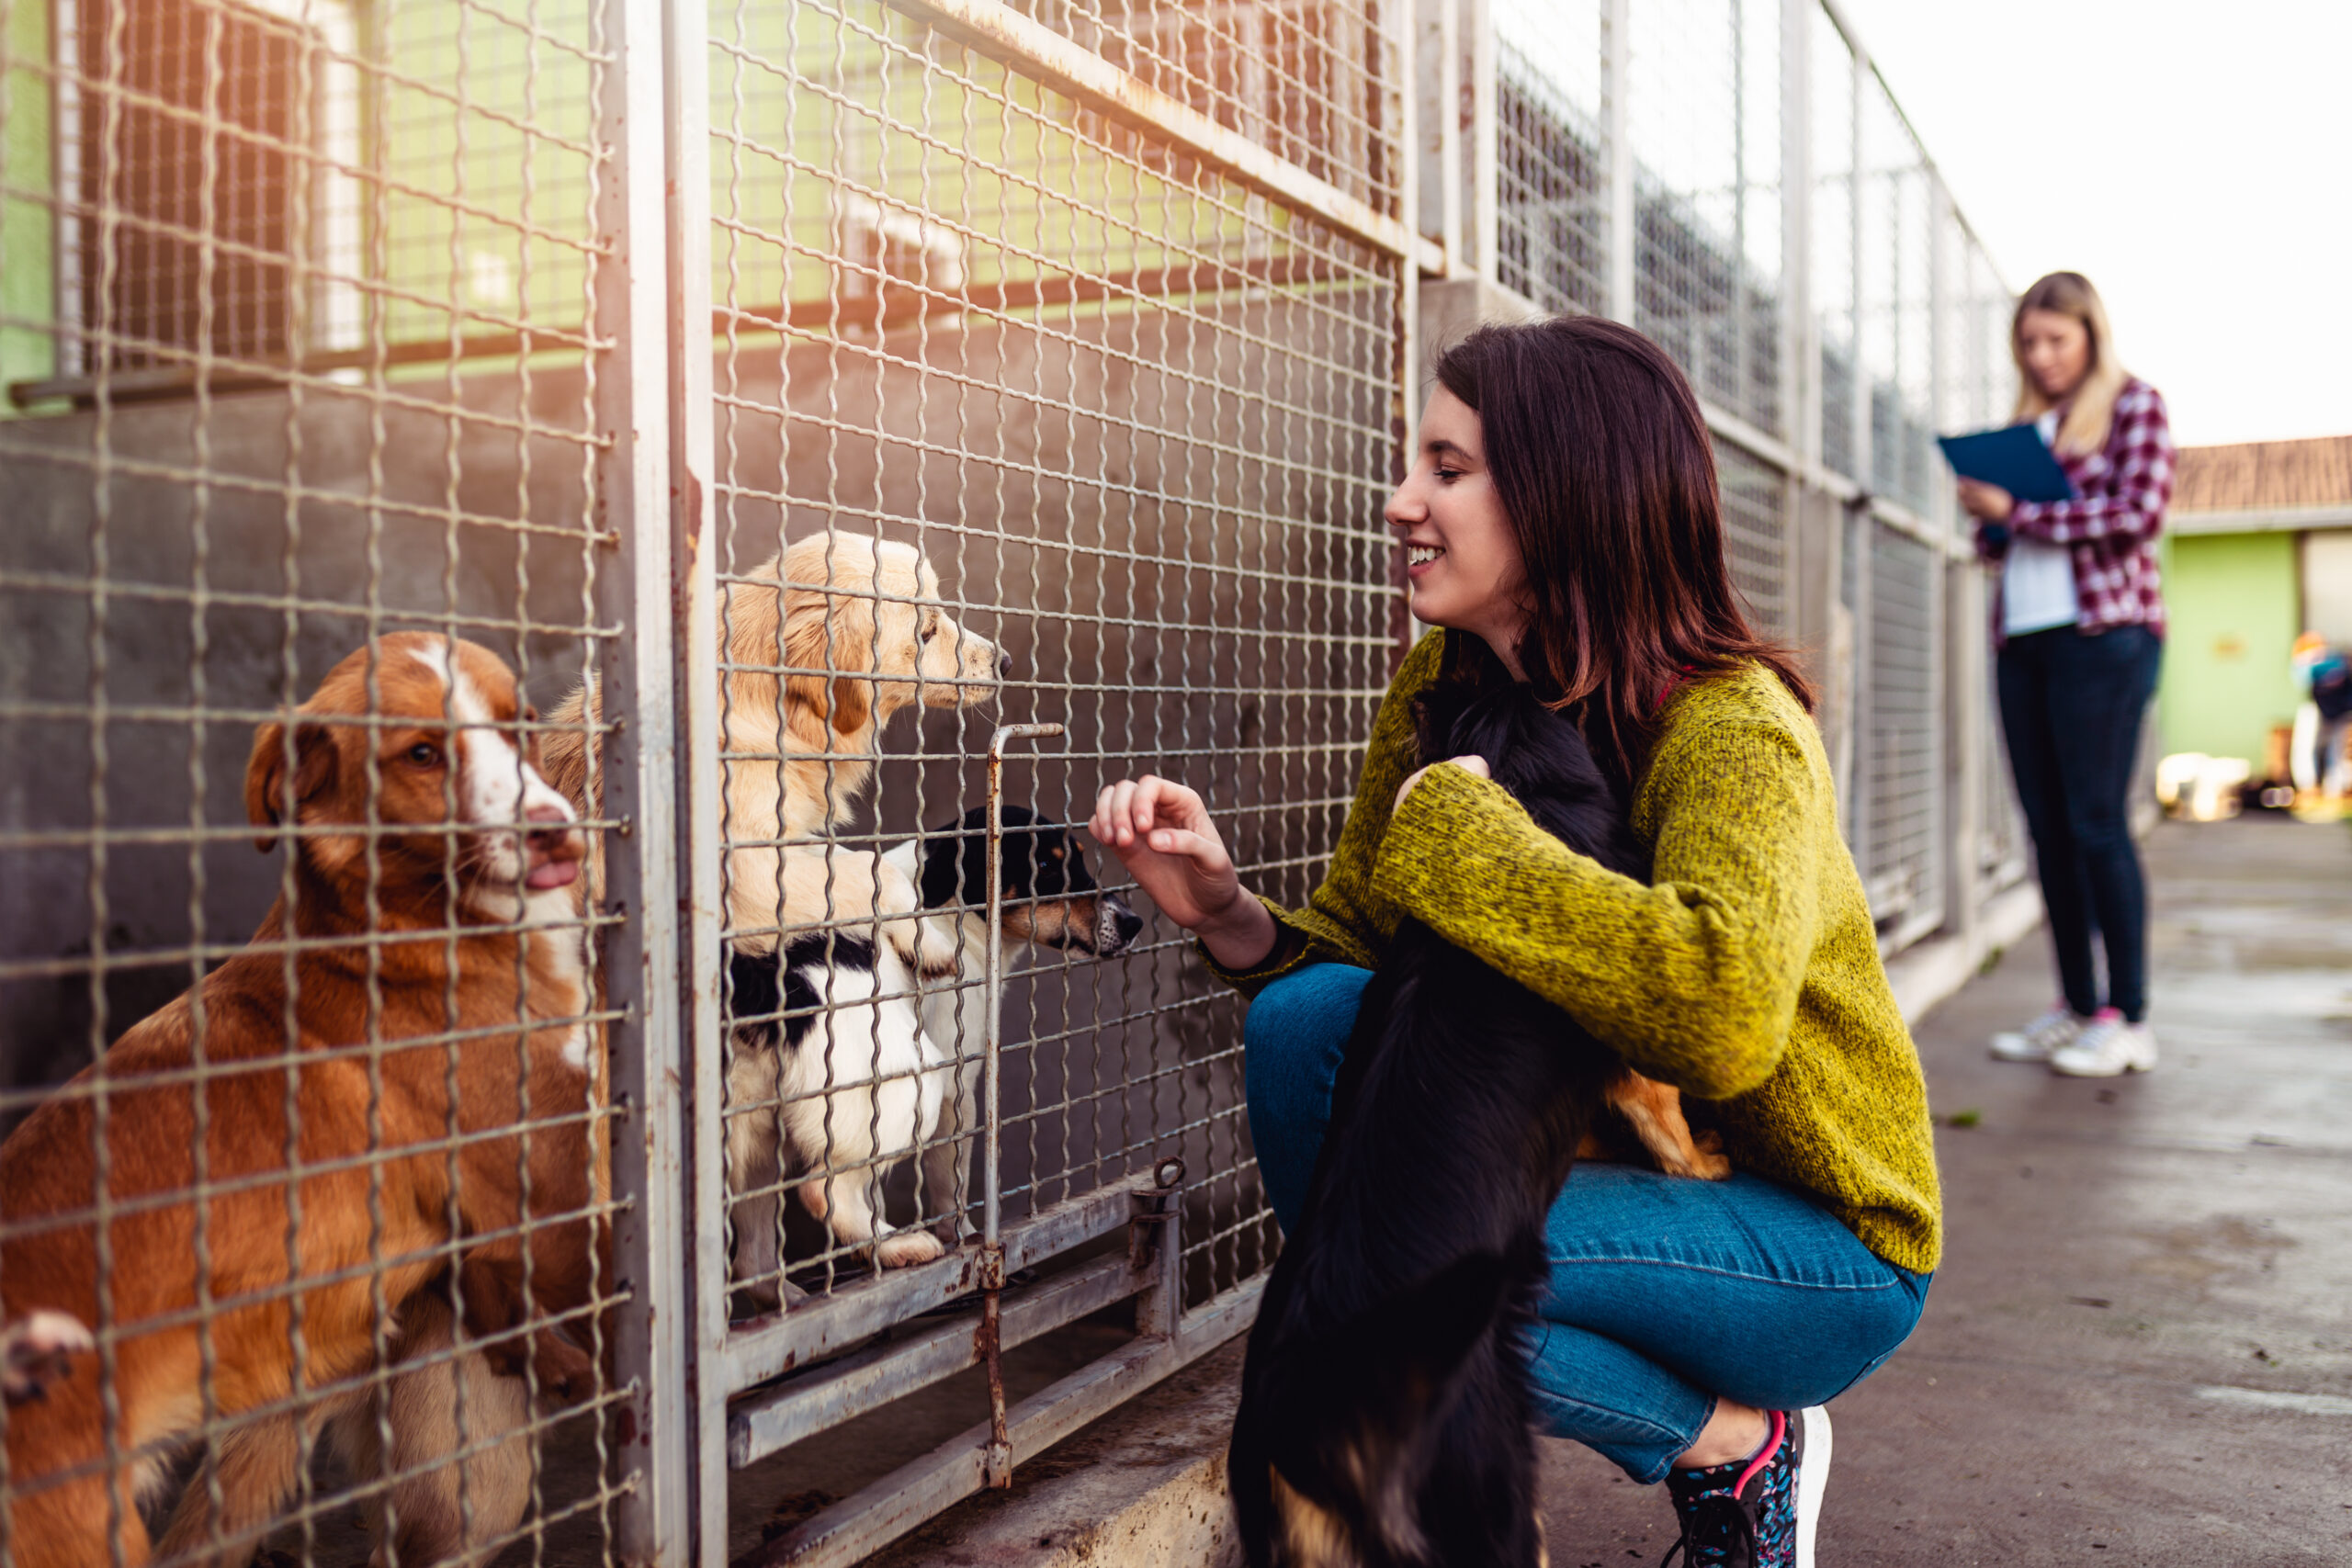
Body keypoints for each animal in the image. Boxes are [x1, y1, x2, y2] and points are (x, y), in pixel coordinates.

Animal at [1232, 686, 1731, 1568]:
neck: (1522, 782)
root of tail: (1309, 1407)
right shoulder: (1633, 1055)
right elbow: (1667, 1119)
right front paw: (1705, 1161)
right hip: (1496, 1483)